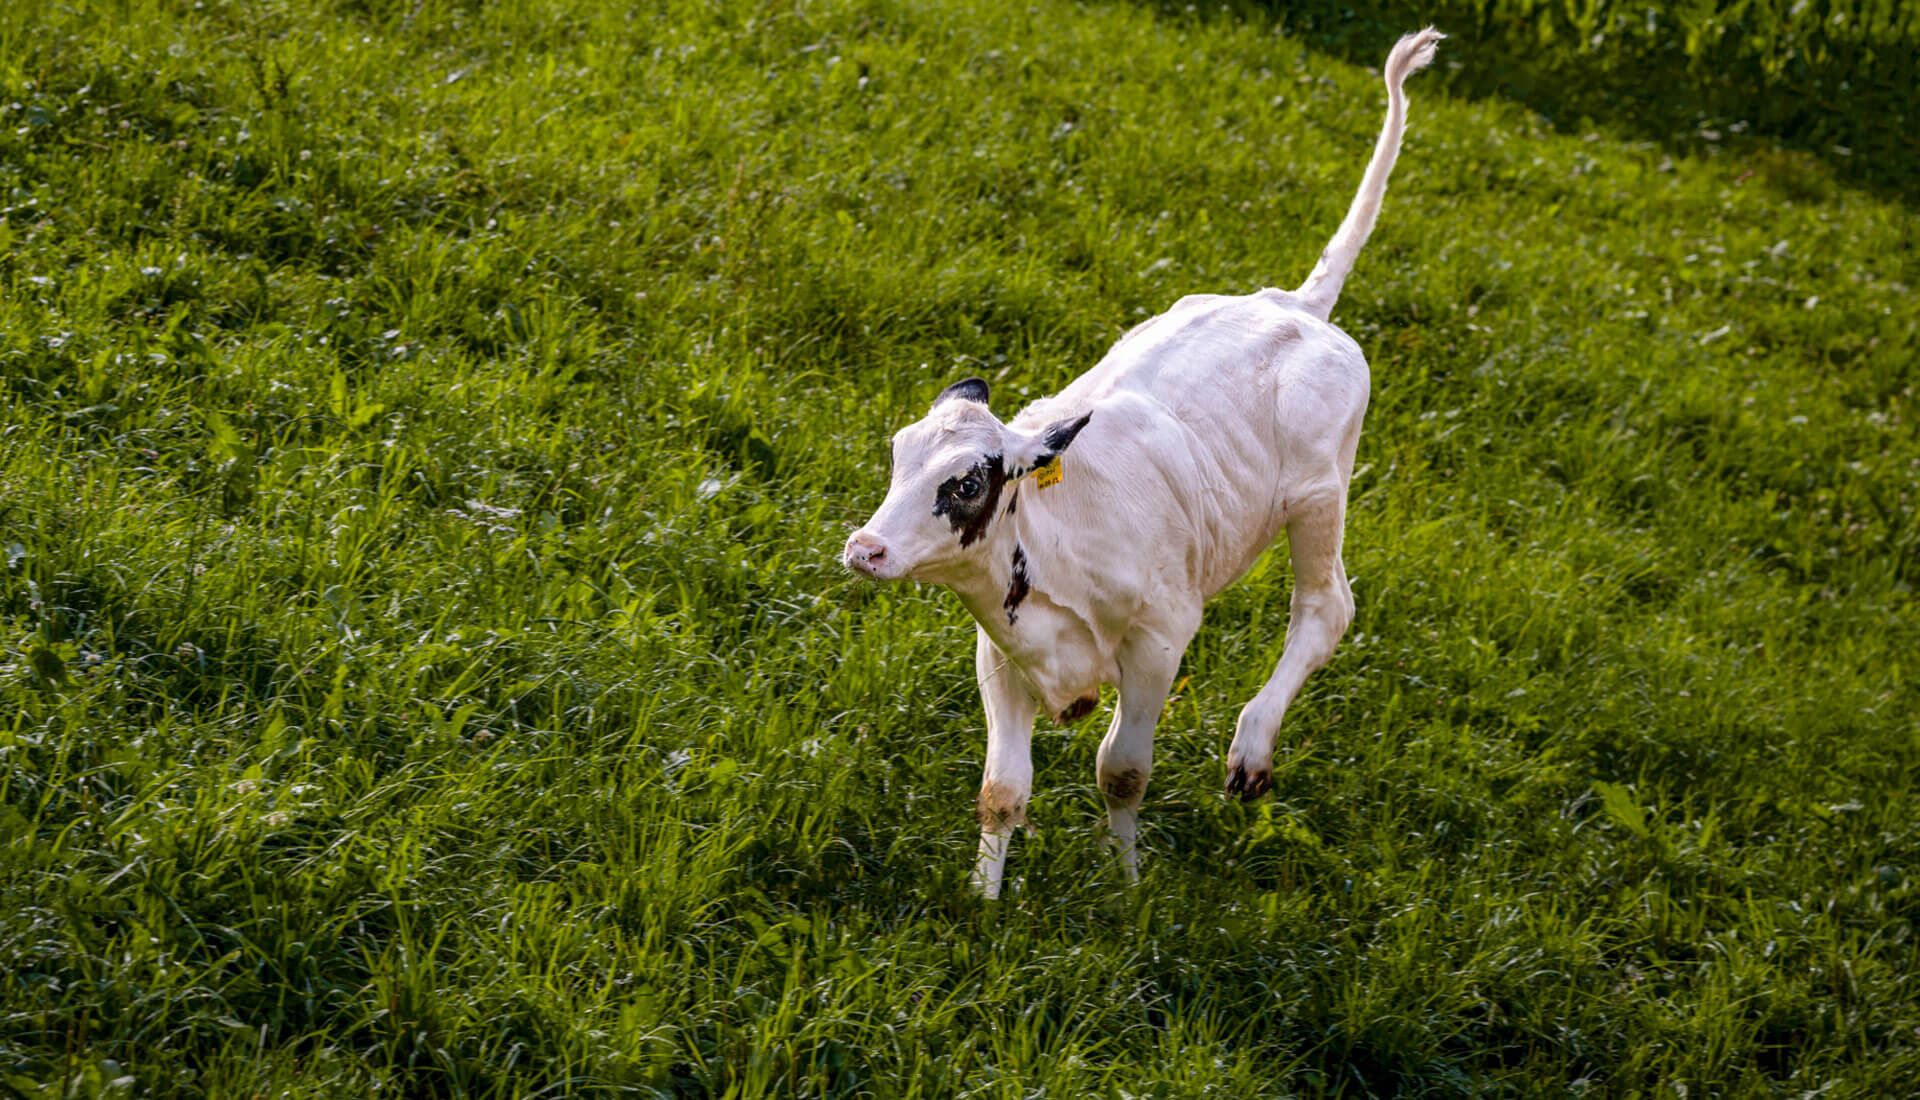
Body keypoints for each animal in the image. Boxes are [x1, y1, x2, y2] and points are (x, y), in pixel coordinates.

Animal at [840, 29, 1443, 894]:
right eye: (896, 455)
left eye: (968, 482)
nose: (866, 548)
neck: (1051, 546)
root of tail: (1297, 306)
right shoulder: (999, 648)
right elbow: (1002, 790)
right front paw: (983, 899)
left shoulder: (1163, 633)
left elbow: (1121, 772)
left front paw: (1126, 888)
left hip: (1319, 495)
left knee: (1326, 609)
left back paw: (1251, 750)